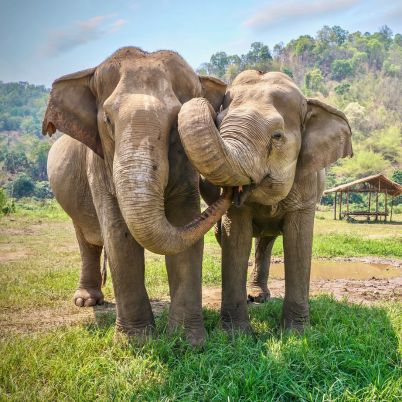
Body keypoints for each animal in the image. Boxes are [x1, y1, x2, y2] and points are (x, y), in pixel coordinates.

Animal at [42, 45, 231, 344]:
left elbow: (184, 226)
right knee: (86, 240)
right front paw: (136, 342)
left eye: (176, 123)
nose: (232, 190)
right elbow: (119, 237)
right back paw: (86, 302)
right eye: (108, 120)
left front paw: (188, 342)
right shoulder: (99, 164)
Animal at [178, 70, 352, 332]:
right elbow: (236, 239)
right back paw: (253, 297)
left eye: (277, 136)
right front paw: (235, 334)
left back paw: (260, 296)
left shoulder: (307, 185)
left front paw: (296, 332)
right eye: (218, 123)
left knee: (266, 242)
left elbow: (299, 242)